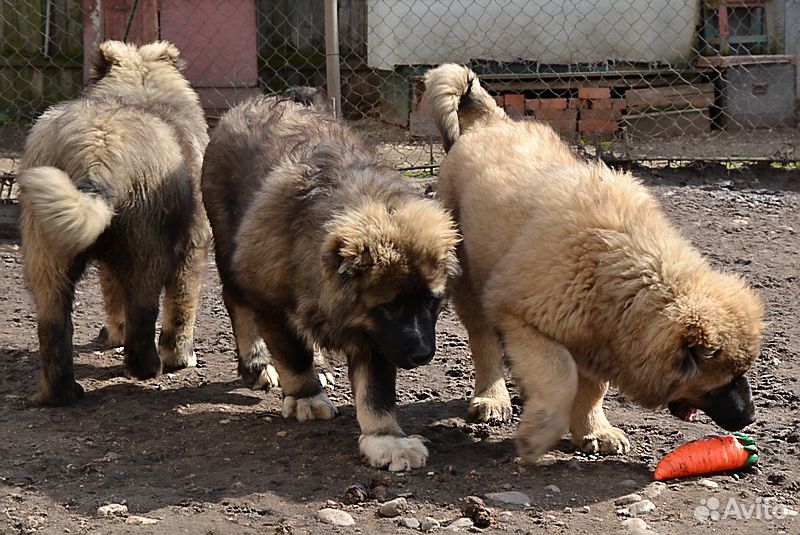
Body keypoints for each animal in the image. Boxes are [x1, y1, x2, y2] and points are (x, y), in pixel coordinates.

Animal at [17, 40, 211, 406]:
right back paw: (147, 367)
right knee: (143, 313)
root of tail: (97, 153)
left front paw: (113, 334)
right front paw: (181, 357)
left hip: (47, 254)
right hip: (147, 249)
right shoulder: (193, 246)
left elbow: (113, 297)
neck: (139, 90)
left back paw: (61, 393)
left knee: (53, 326)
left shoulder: (109, 264)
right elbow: (181, 307)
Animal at [203, 96, 460, 474]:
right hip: (228, 248)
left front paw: (386, 439)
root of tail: (249, 104)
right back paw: (256, 362)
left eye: (432, 302)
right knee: (236, 303)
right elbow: (292, 352)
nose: (423, 354)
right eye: (391, 305)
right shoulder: (272, 302)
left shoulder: (373, 334)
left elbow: (376, 390)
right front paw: (305, 396)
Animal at [422, 62, 764, 462]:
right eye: (725, 379)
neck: (620, 265)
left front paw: (593, 430)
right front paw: (541, 431)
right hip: (469, 280)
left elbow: (590, 387)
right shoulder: (521, 316)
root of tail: (492, 122)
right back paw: (492, 397)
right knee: (484, 341)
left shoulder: (599, 334)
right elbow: (558, 375)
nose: (751, 417)